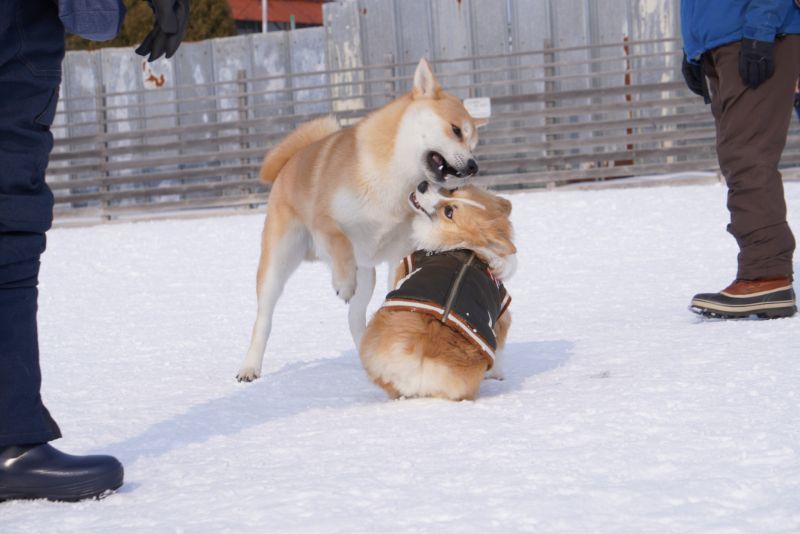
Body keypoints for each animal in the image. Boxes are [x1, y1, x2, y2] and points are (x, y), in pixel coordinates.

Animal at [236, 58, 488, 384]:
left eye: (474, 143)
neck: (395, 180)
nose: (473, 166)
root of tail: (290, 162)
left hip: (367, 275)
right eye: (456, 130)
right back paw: (250, 366)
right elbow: (340, 240)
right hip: (278, 261)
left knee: (354, 318)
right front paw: (342, 282)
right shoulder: (325, 221)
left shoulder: (401, 251)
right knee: (264, 318)